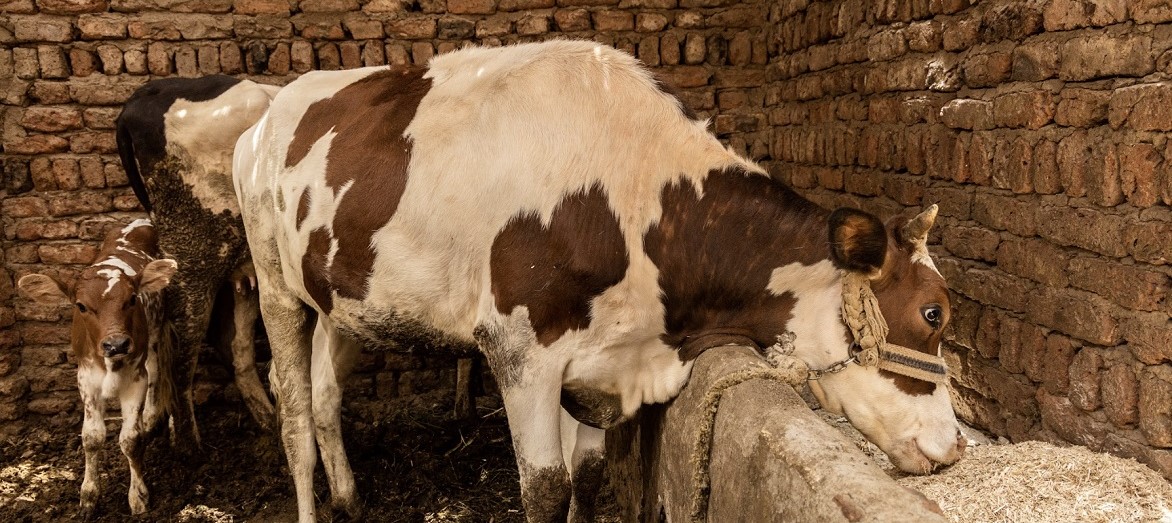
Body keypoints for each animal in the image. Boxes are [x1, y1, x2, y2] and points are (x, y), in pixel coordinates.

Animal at [16, 218, 175, 515]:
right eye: (81, 306)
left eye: (132, 299)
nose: (116, 344)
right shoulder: (86, 378)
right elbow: (91, 437)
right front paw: (89, 495)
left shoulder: (135, 377)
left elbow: (130, 439)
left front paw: (138, 496)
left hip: (155, 333)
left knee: (156, 370)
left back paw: (151, 417)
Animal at [233, 41, 965, 523]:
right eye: (933, 313)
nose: (954, 445)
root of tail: (269, 111)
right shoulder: (520, 351)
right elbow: (546, 490)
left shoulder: (600, 363)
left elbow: (584, 478)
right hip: (274, 283)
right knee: (293, 407)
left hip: (340, 297)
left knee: (325, 395)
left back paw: (351, 498)